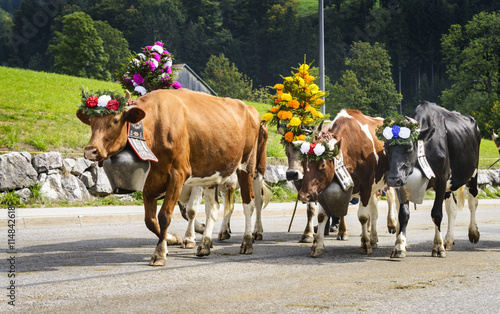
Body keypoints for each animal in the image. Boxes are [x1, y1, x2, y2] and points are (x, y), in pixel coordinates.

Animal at [76, 89, 268, 266]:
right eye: (91, 121)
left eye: (116, 120)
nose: (90, 151)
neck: (154, 127)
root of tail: (249, 108)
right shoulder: (150, 181)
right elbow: (150, 220)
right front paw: (172, 239)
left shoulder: (178, 175)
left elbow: (165, 216)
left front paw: (160, 253)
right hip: (211, 173)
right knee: (213, 208)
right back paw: (205, 244)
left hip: (248, 166)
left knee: (250, 203)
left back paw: (248, 241)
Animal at [296, 109, 394, 256]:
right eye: (303, 162)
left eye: (322, 164)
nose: (303, 195)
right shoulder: (324, 189)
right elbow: (321, 216)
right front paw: (317, 245)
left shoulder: (366, 186)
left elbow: (363, 217)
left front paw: (365, 244)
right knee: (374, 212)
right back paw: (374, 239)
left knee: (392, 200)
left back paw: (392, 226)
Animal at [382, 102, 480, 258]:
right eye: (386, 147)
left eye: (409, 147)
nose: (393, 180)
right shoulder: (404, 184)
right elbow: (403, 214)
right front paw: (399, 246)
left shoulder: (442, 178)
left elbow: (436, 214)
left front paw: (438, 247)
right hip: (449, 185)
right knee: (452, 208)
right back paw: (448, 240)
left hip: (472, 173)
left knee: (473, 202)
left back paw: (473, 233)